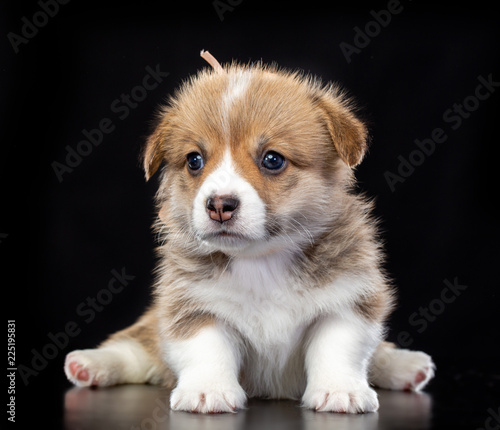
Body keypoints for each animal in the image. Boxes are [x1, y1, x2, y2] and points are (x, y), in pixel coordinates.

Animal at [65, 53, 434, 414]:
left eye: (272, 159)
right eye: (194, 161)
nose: (219, 205)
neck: (262, 260)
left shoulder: (347, 300)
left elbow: (338, 348)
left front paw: (340, 391)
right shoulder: (192, 306)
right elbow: (207, 349)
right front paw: (207, 391)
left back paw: (405, 365)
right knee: (136, 346)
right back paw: (90, 364)